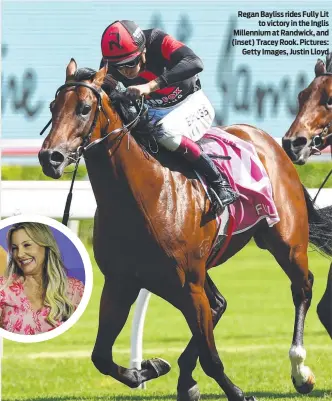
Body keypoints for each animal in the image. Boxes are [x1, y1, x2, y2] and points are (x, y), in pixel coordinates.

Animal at [39, 59, 332, 400]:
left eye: (84, 108)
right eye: (53, 106)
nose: (50, 157)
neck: (142, 195)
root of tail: (268, 140)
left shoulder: (188, 284)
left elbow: (211, 356)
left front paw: (237, 392)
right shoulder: (121, 282)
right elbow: (100, 356)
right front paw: (149, 368)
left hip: (287, 242)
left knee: (303, 288)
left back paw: (300, 371)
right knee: (219, 304)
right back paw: (185, 380)